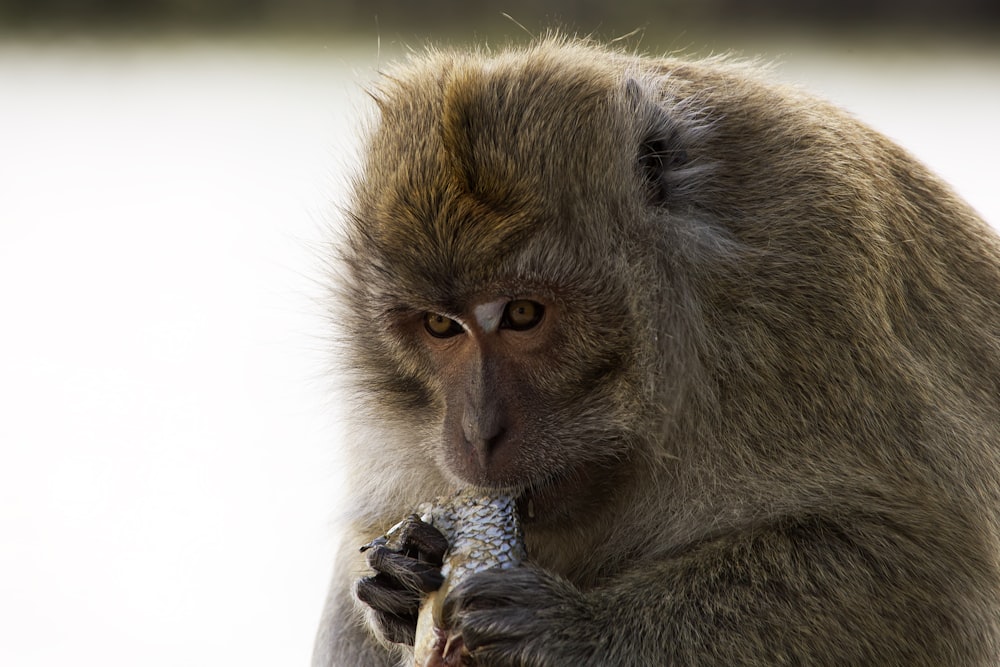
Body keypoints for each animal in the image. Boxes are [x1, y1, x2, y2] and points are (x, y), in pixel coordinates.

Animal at [312, 37, 1000, 667]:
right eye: (440, 325)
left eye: (523, 314)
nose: (478, 433)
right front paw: (400, 577)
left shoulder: (813, 290)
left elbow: (926, 569)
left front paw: (576, 632)